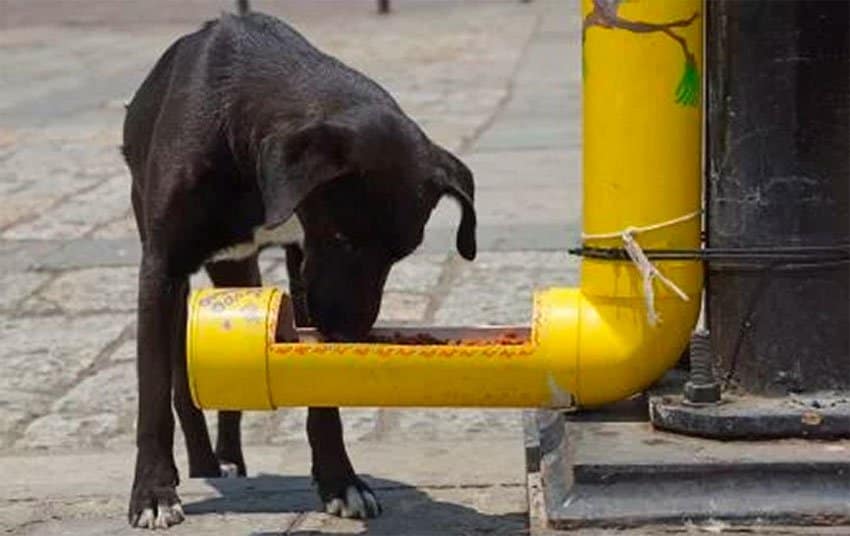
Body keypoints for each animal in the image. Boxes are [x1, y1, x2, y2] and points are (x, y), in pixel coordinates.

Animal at [121, 0, 474, 528]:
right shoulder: (161, 269)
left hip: (239, 274)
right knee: (182, 385)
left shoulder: (303, 265)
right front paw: (153, 493)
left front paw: (340, 481)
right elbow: (154, 394)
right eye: (342, 238)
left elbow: (319, 394)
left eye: (400, 254)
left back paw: (230, 460)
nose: (349, 334)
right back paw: (205, 465)